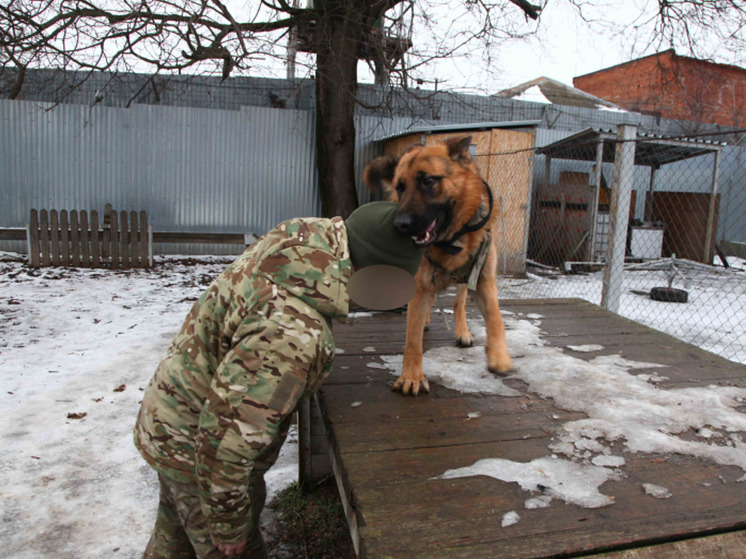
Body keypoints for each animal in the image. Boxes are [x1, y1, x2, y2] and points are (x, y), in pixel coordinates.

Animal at [362, 136, 512, 396]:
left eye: (428, 181)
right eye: (400, 187)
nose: (399, 225)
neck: (450, 242)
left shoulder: (483, 279)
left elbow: (495, 317)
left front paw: (499, 356)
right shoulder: (419, 285)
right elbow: (412, 339)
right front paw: (412, 376)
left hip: (464, 283)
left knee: (458, 302)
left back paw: (463, 332)